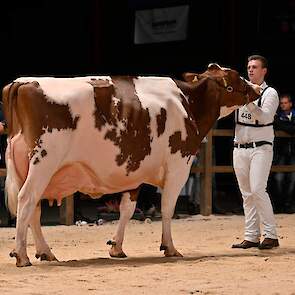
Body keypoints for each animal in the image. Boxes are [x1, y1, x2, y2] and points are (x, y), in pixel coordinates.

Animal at [1, 63, 260, 268]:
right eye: (235, 80)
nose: (257, 89)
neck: (187, 103)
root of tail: (23, 82)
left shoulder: (134, 172)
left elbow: (127, 208)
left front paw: (116, 247)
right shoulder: (178, 165)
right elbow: (167, 207)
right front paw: (170, 247)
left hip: (26, 167)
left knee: (33, 209)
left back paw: (45, 252)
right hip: (43, 161)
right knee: (26, 200)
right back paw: (22, 255)